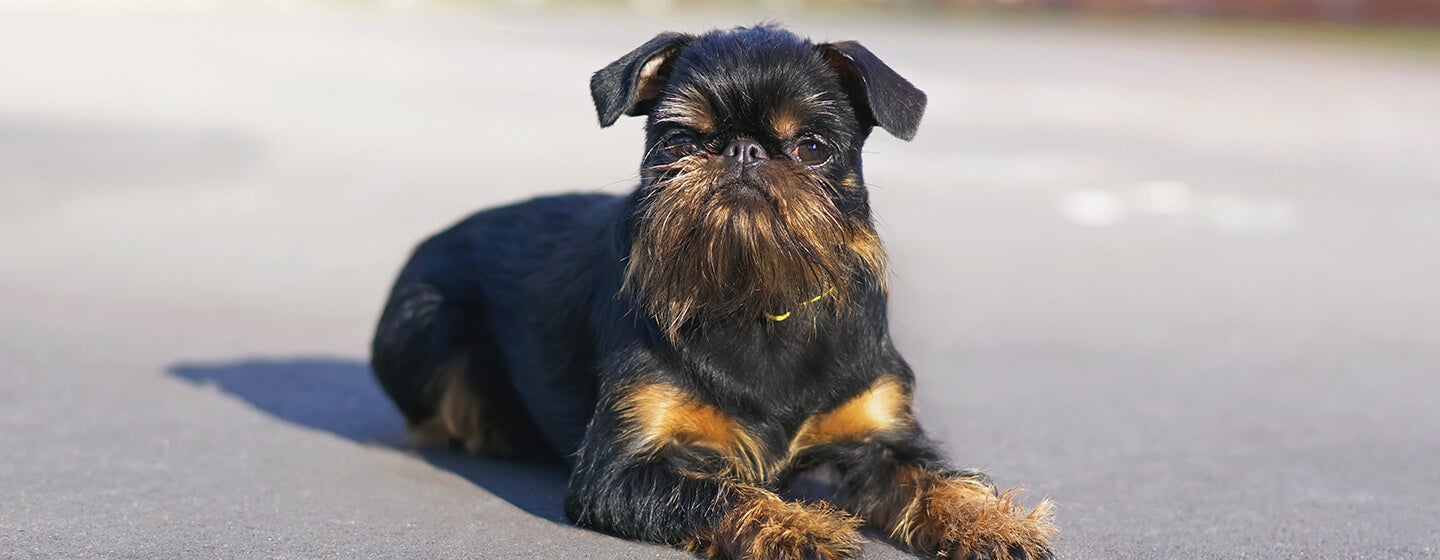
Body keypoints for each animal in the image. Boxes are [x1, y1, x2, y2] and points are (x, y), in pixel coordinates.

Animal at [365, 23, 1054, 555]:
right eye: (681, 139)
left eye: (811, 147)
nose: (744, 150)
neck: (756, 301)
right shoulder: (619, 472)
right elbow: (720, 492)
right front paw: (802, 527)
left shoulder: (883, 438)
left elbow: (939, 481)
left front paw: (992, 522)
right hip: (422, 321)